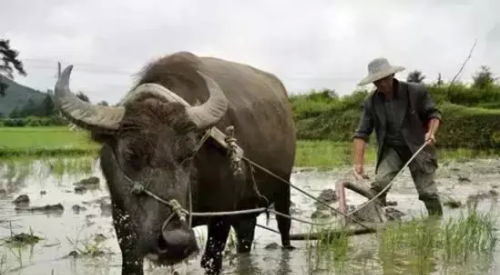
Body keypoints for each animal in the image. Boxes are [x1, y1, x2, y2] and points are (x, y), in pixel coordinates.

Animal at [52, 51, 296, 274]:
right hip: (247, 208)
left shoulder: (222, 215)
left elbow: (211, 260)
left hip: (283, 188)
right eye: (130, 153)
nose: (175, 243)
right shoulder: (122, 219)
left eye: (189, 154)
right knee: (246, 238)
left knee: (284, 228)